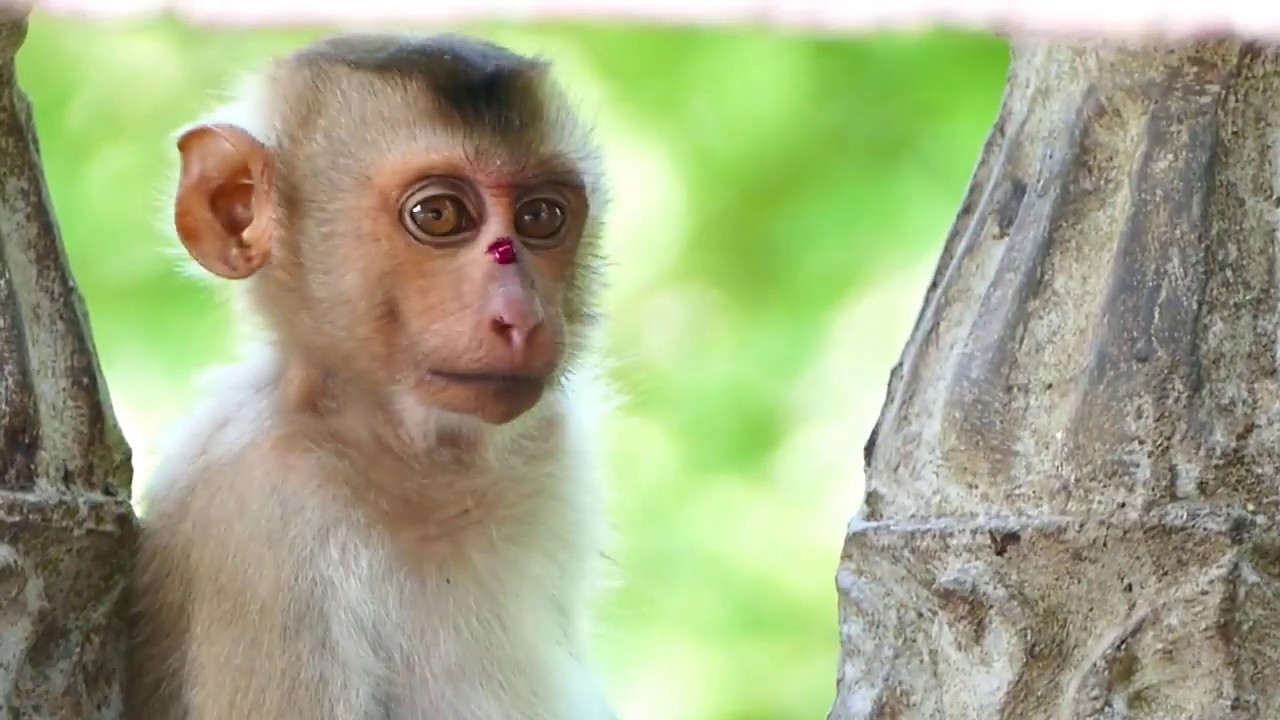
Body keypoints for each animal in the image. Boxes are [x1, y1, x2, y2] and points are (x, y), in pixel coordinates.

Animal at [124, 31, 619, 720]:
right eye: (438, 215)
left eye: (541, 217)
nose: (520, 316)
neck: (406, 455)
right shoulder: (259, 513)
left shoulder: (557, 446)